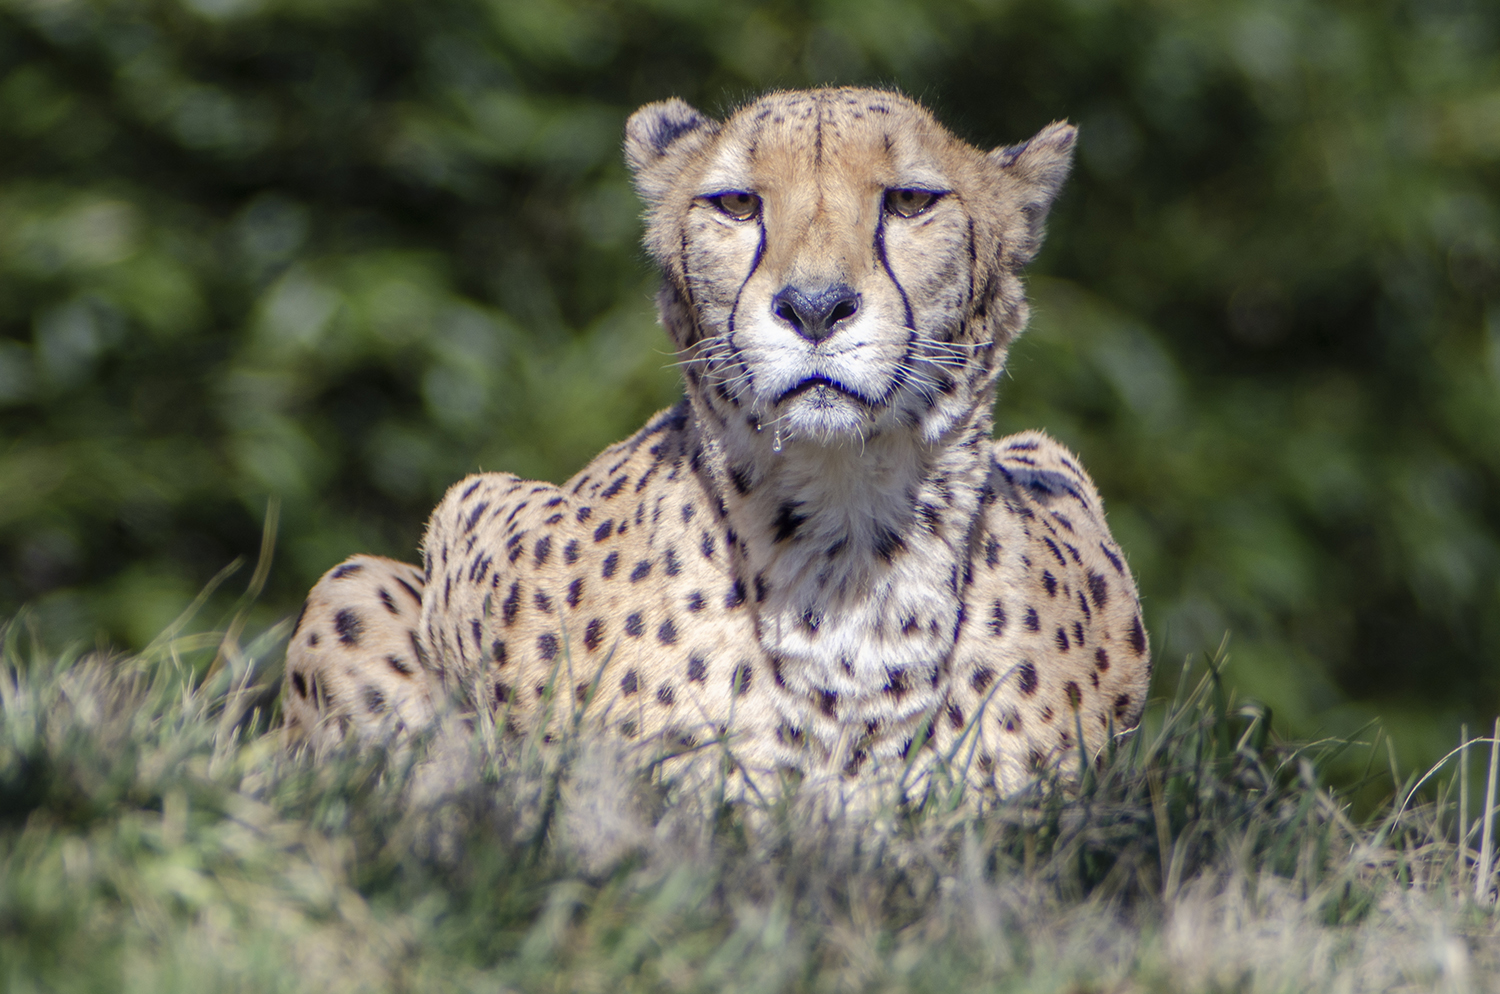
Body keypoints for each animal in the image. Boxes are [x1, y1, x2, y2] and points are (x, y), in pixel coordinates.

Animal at [281, 87, 1151, 800]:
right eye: (735, 204)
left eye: (910, 201)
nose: (814, 307)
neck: (847, 547)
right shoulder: (476, 505)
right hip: (353, 583)